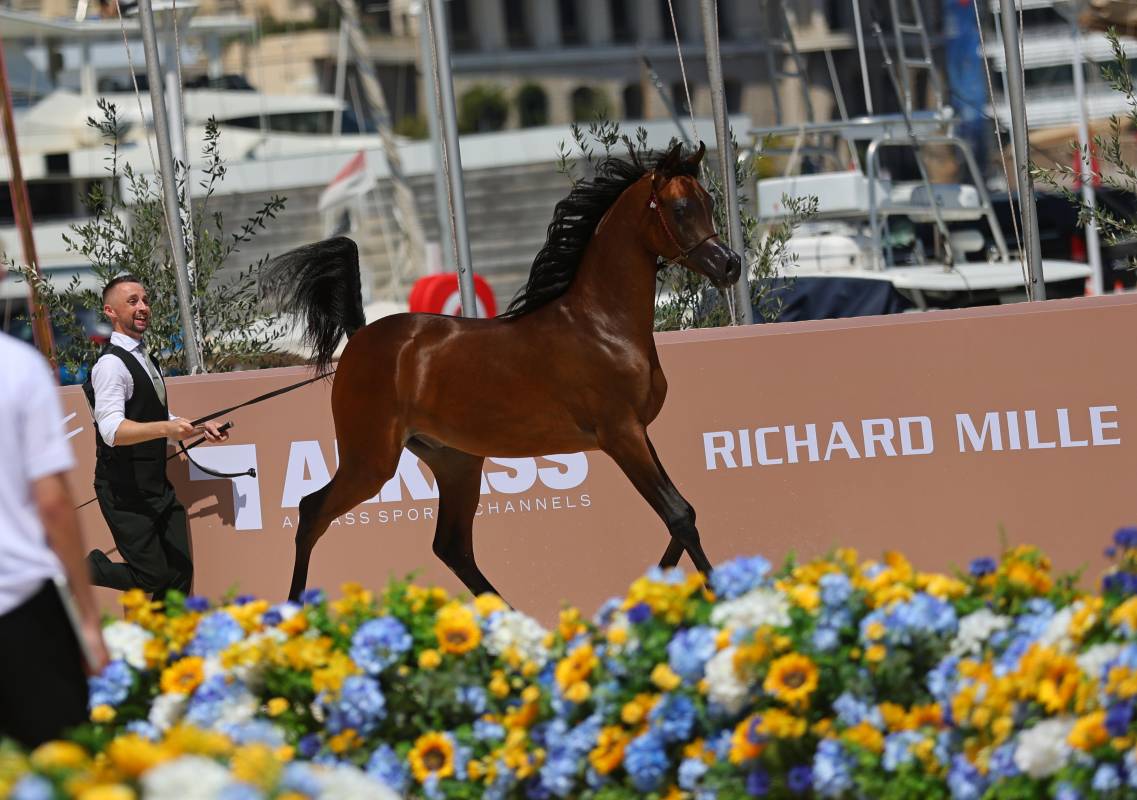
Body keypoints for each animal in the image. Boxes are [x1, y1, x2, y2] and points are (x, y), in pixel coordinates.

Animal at [265, 141, 742, 602]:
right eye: (680, 208)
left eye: (709, 201)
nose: (730, 265)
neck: (603, 325)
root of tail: (361, 336)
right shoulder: (621, 434)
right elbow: (678, 514)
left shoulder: (639, 434)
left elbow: (682, 514)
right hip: (370, 461)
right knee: (312, 512)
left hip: (454, 461)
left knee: (451, 546)